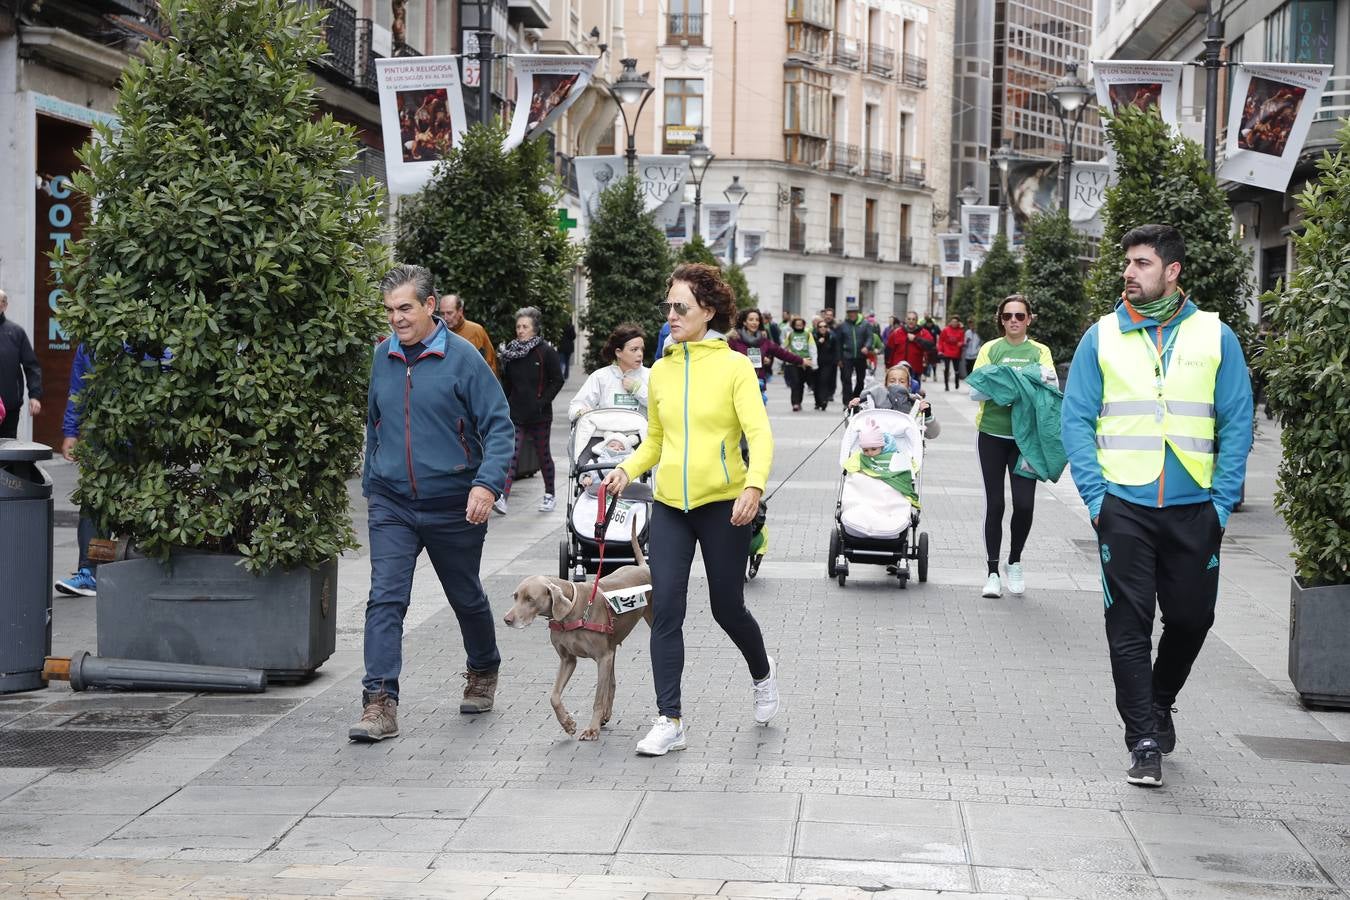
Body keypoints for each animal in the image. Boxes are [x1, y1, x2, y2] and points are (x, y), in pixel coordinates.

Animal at [507, 531, 653, 744]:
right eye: (515, 596)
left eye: (530, 599)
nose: (507, 619)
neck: (571, 611)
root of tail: (642, 566)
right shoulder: (568, 659)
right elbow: (554, 696)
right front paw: (567, 723)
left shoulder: (602, 658)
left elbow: (597, 698)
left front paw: (592, 730)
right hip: (612, 646)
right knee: (612, 683)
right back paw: (605, 716)